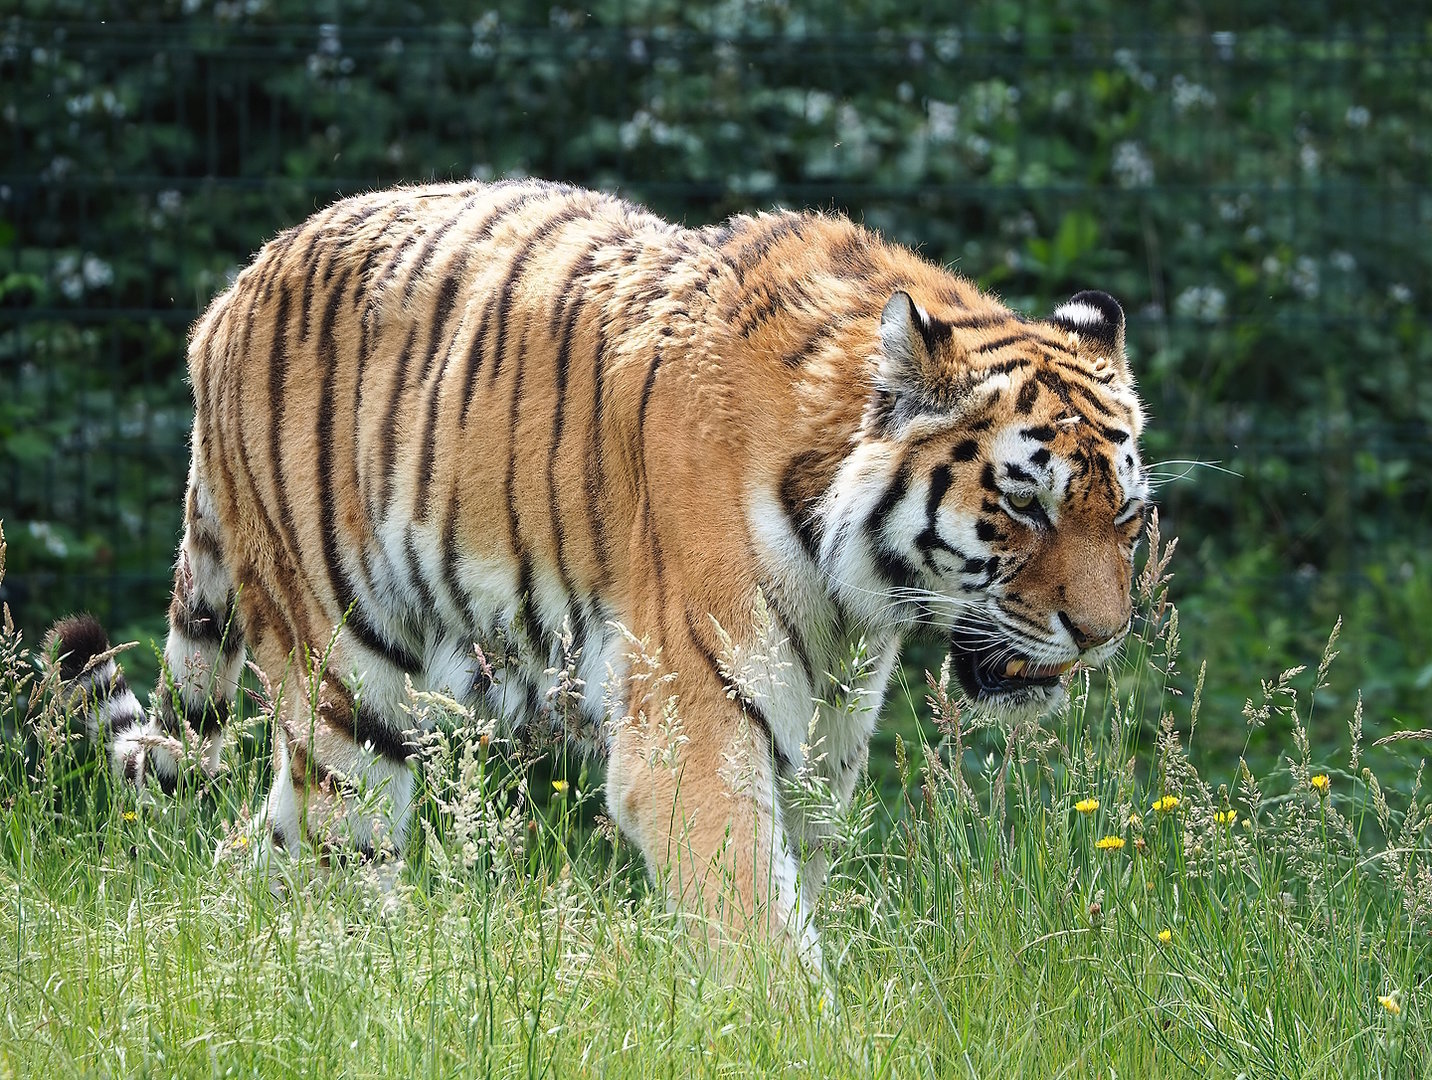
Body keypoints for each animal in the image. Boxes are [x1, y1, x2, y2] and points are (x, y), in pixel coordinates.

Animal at [47, 177, 1148, 969]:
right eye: (1025, 505)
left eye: (1127, 519)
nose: (1103, 637)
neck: (855, 589)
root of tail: (227, 298)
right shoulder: (691, 737)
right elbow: (760, 936)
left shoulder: (822, 755)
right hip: (345, 691)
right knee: (342, 864)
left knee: (257, 853)